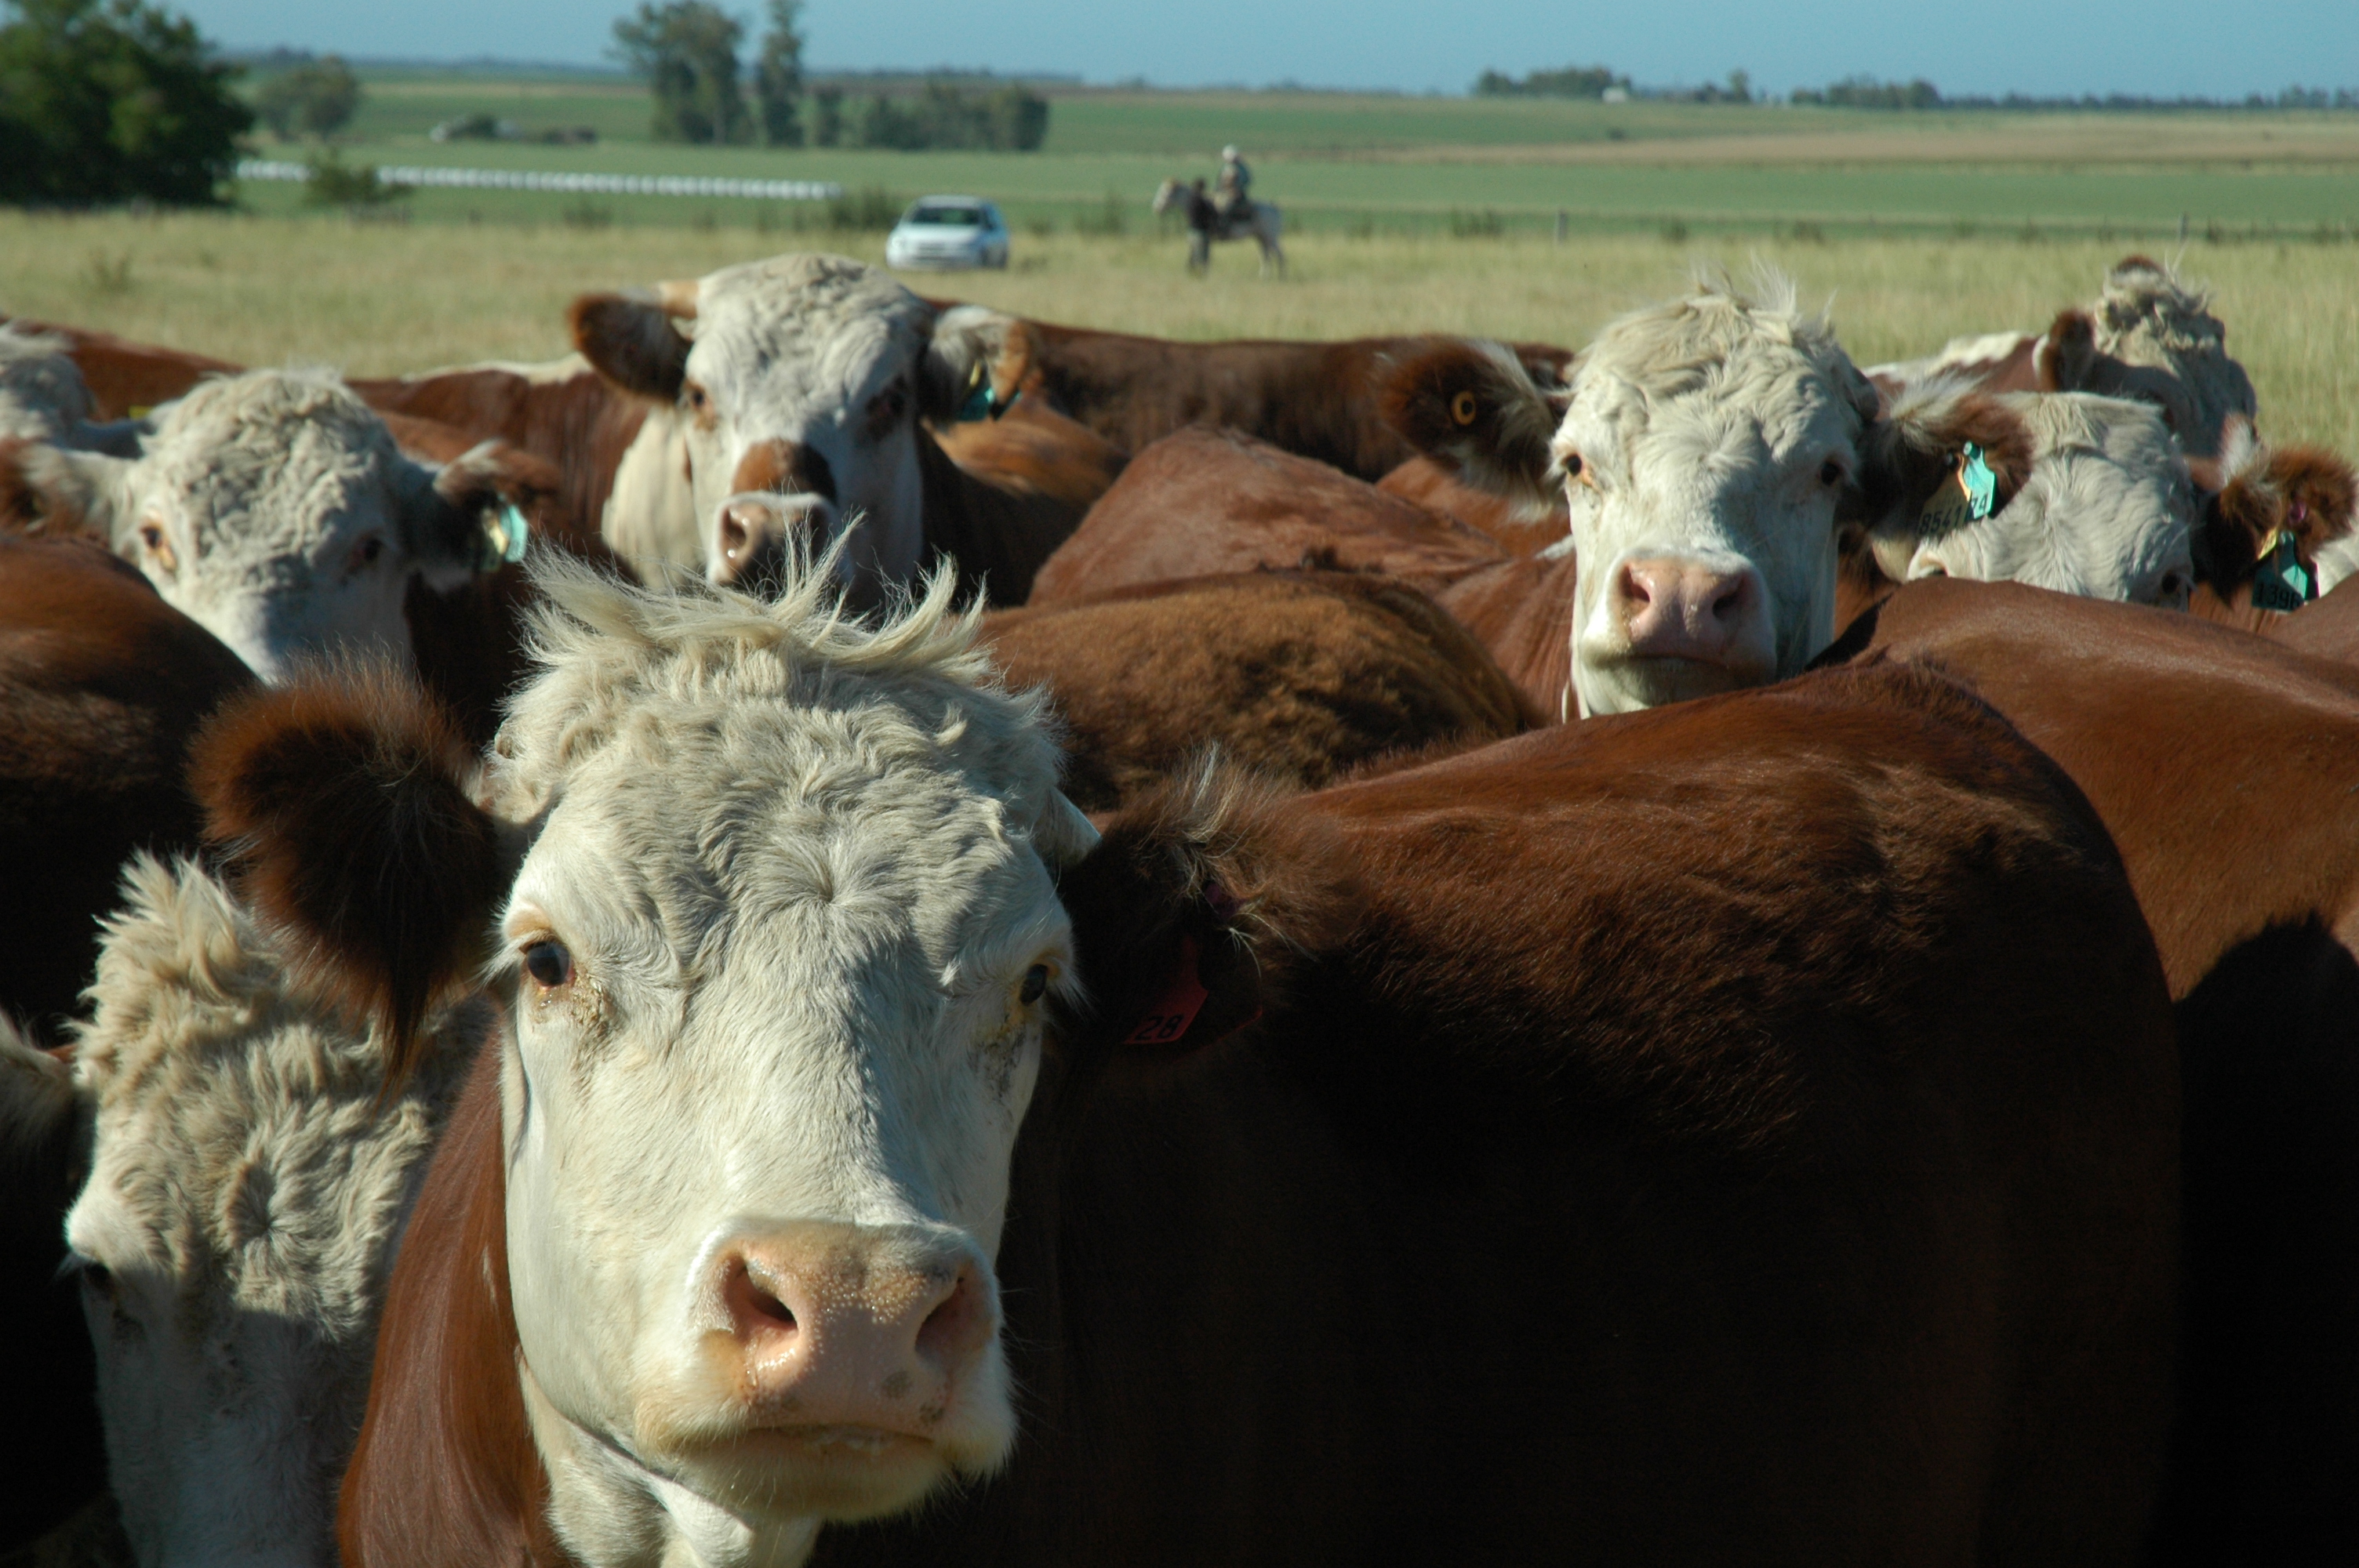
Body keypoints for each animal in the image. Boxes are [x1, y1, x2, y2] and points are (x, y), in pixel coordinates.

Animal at [1146, 180, 1283, 281]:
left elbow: (1203, 258)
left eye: (1165, 193)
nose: (1156, 208)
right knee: (1265, 257)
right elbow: (1195, 256)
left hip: (1271, 238)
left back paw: (1282, 277)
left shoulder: (1204, 240)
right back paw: (1264, 277)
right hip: (1261, 238)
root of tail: (1274, 208)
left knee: (1280, 255)